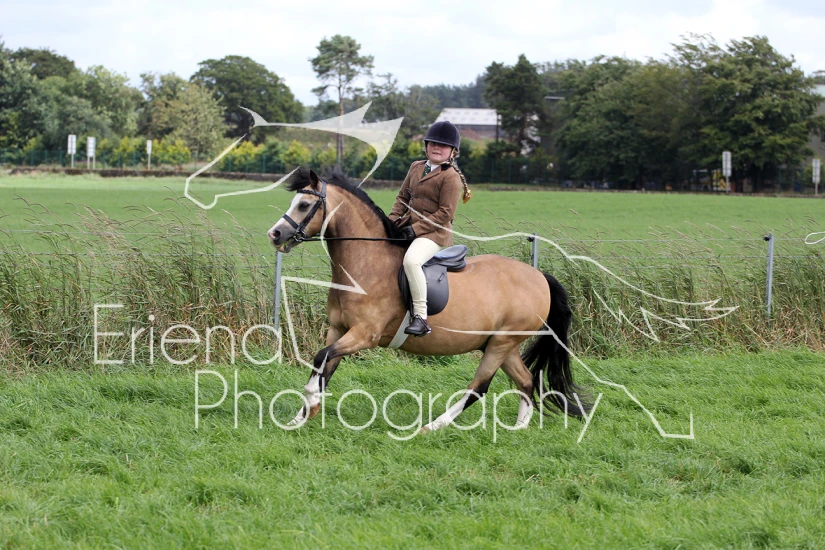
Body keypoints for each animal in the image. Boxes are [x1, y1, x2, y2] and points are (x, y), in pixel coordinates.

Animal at [268, 168, 588, 433]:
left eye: (304, 205)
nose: (275, 234)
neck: (366, 264)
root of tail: (539, 276)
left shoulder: (364, 335)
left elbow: (321, 358)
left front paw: (310, 401)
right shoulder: (338, 330)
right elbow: (324, 364)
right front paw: (301, 416)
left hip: (502, 343)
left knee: (479, 387)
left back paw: (433, 426)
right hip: (501, 344)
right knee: (525, 380)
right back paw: (519, 428)